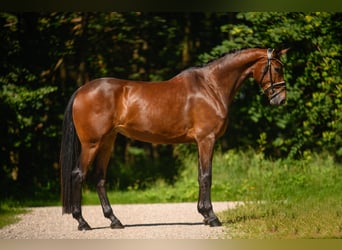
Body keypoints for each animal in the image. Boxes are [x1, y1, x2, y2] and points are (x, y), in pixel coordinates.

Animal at [59, 47, 288, 230]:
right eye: (277, 68)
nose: (281, 99)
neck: (211, 87)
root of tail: (81, 90)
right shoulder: (207, 139)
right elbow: (207, 176)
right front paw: (212, 217)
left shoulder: (200, 142)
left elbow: (200, 176)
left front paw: (204, 215)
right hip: (91, 144)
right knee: (78, 175)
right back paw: (83, 222)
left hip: (107, 143)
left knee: (99, 178)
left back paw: (114, 221)